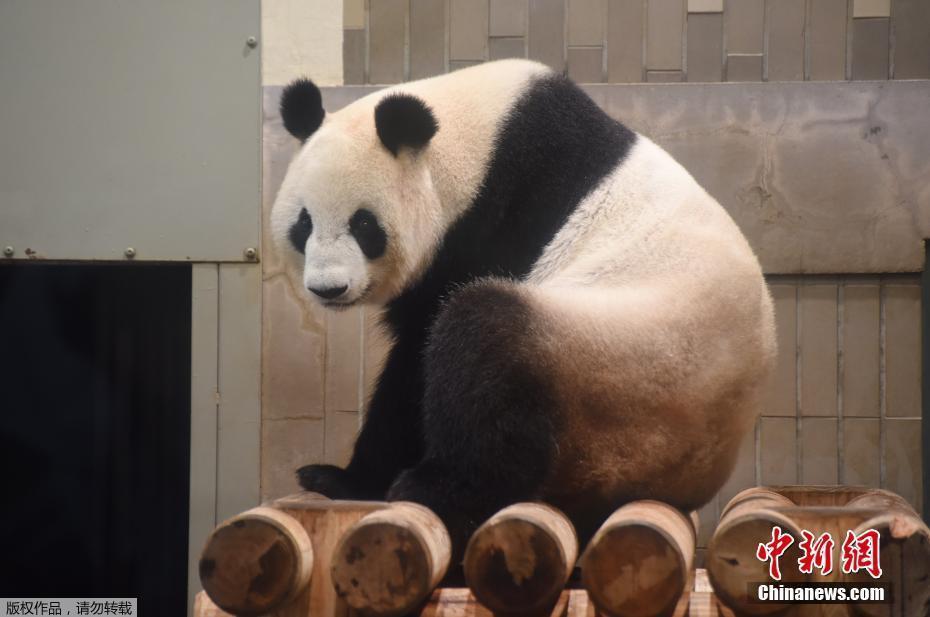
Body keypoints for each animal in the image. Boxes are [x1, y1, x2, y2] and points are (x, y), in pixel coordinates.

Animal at [270, 59, 776, 551]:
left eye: (364, 225)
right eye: (304, 223)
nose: (329, 288)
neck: (471, 144)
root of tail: (684, 481)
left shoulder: (496, 221)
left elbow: (418, 354)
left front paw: (347, 477)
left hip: (616, 369)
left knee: (488, 348)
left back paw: (441, 485)